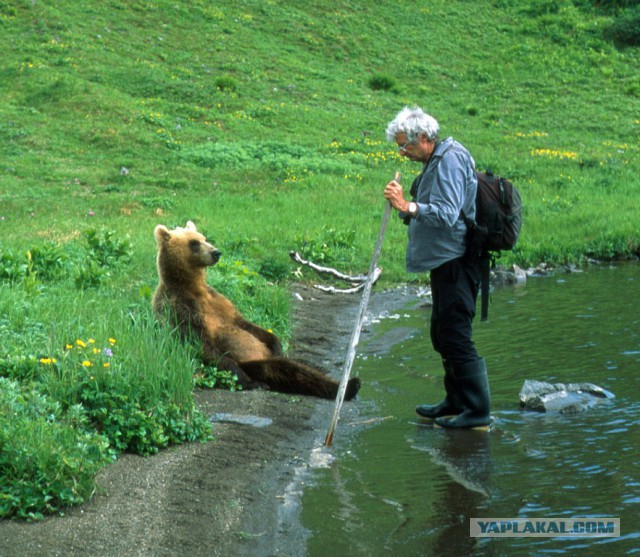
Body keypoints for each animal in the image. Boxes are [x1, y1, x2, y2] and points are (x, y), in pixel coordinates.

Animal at [150, 222, 360, 400]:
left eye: (204, 237)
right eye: (193, 243)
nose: (216, 252)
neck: (192, 286)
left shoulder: (218, 302)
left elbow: (244, 323)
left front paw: (277, 344)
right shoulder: (181, 307)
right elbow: (202, 343)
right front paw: (249, 382)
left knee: (299, 370)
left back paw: (349, 386)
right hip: (253, 363)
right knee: (282, 369)